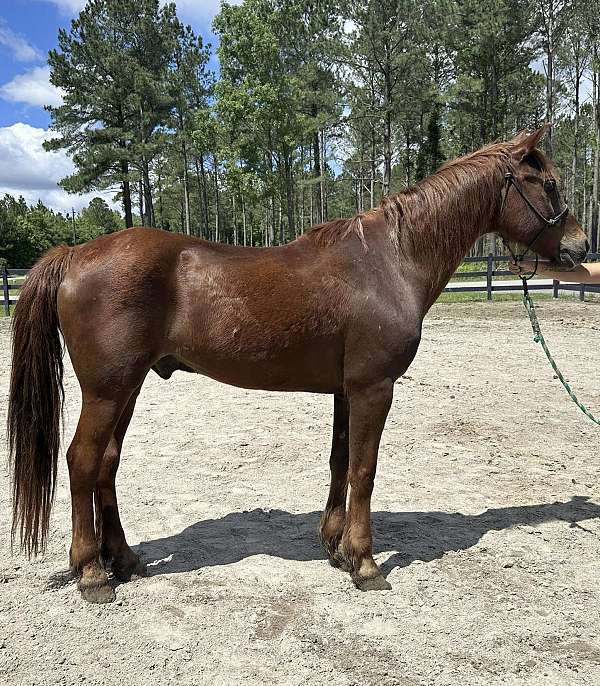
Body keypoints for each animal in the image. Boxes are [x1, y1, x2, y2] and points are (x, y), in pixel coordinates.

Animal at [7, 126, 588, 604]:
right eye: (549, 185)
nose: (581, 247)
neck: (389, 261)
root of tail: (75, 255)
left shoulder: (347, 390)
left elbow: (341, 462)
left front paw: (336, 546)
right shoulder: (375, 387)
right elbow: (365, 469)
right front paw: (367, 563)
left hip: (127, 390)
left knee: (106, 464)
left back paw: (124, 561)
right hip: (108, 390)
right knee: (82, 462)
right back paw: (91, 574)